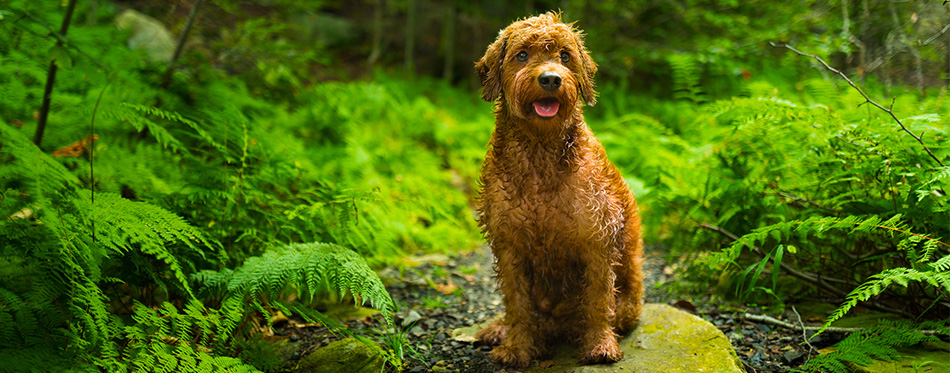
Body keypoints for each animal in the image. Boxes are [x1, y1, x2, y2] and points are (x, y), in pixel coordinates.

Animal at [476, 12, 648, 370]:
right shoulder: (509, 245)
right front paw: (517, 347)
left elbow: (597, 301)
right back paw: (500, 330)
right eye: (522, 55)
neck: (540, 153)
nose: (551, 79)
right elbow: (517, 304)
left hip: (627, 302)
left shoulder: (596, 241)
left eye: (565, 56)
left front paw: (600, 345)